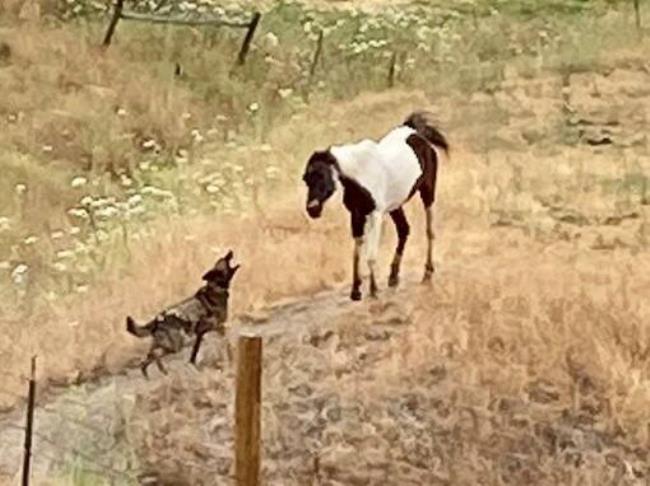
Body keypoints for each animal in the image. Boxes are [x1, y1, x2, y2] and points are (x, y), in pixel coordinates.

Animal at [125, 251, 239, 380]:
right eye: (223, 260)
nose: (230, 251)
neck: (215, 288)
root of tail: (157, 320)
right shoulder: (213, 328)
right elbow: (224, 344)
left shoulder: (205, 332)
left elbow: (195, 353)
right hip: (176, 345)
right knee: (154, 355)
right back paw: (163, 371)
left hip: (163, 345)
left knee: (145, 360)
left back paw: (152, 377)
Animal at [300, 113, 446, 300]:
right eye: (306, 179)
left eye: (321, 175)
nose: (312, 209)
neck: (360, 174)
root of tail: (414, 131)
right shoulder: (356, 214)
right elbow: (356, 252)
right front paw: (356, 291)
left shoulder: (375, 215)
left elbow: (371, 255)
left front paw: (373, 289)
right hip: (395, 206)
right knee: (404, 230)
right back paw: (393, 277)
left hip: (427, 193)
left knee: (429, 231)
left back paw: (427, 273)